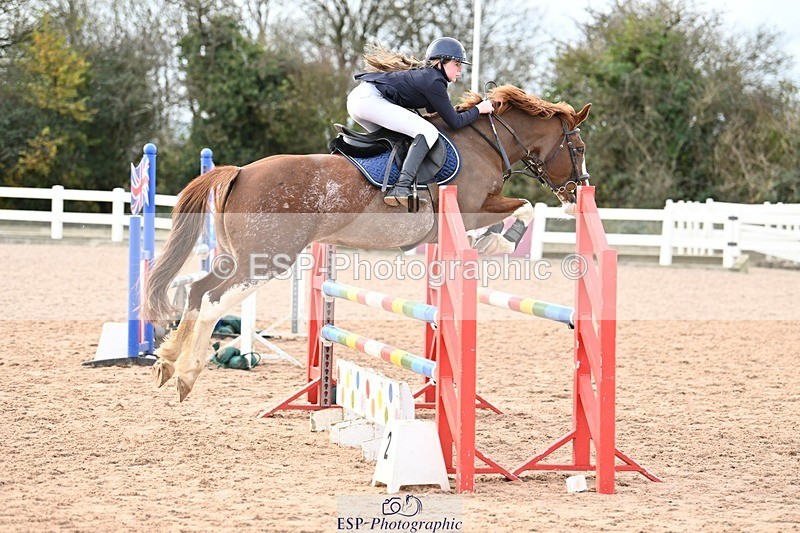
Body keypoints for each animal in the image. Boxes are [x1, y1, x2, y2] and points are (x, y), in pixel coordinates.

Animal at [143, 84, 591, 402]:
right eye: (580, 147)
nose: (578, 193)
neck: (484, 143)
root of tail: (239, 172)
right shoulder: (470, 209)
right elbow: (525, 209)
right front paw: (492, 245)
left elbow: (523, 209)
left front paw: (489, 244)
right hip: (266, 260)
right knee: (214, 300)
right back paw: (186, 375)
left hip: (237, 257)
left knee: (197, 291)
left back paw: (166, 361)